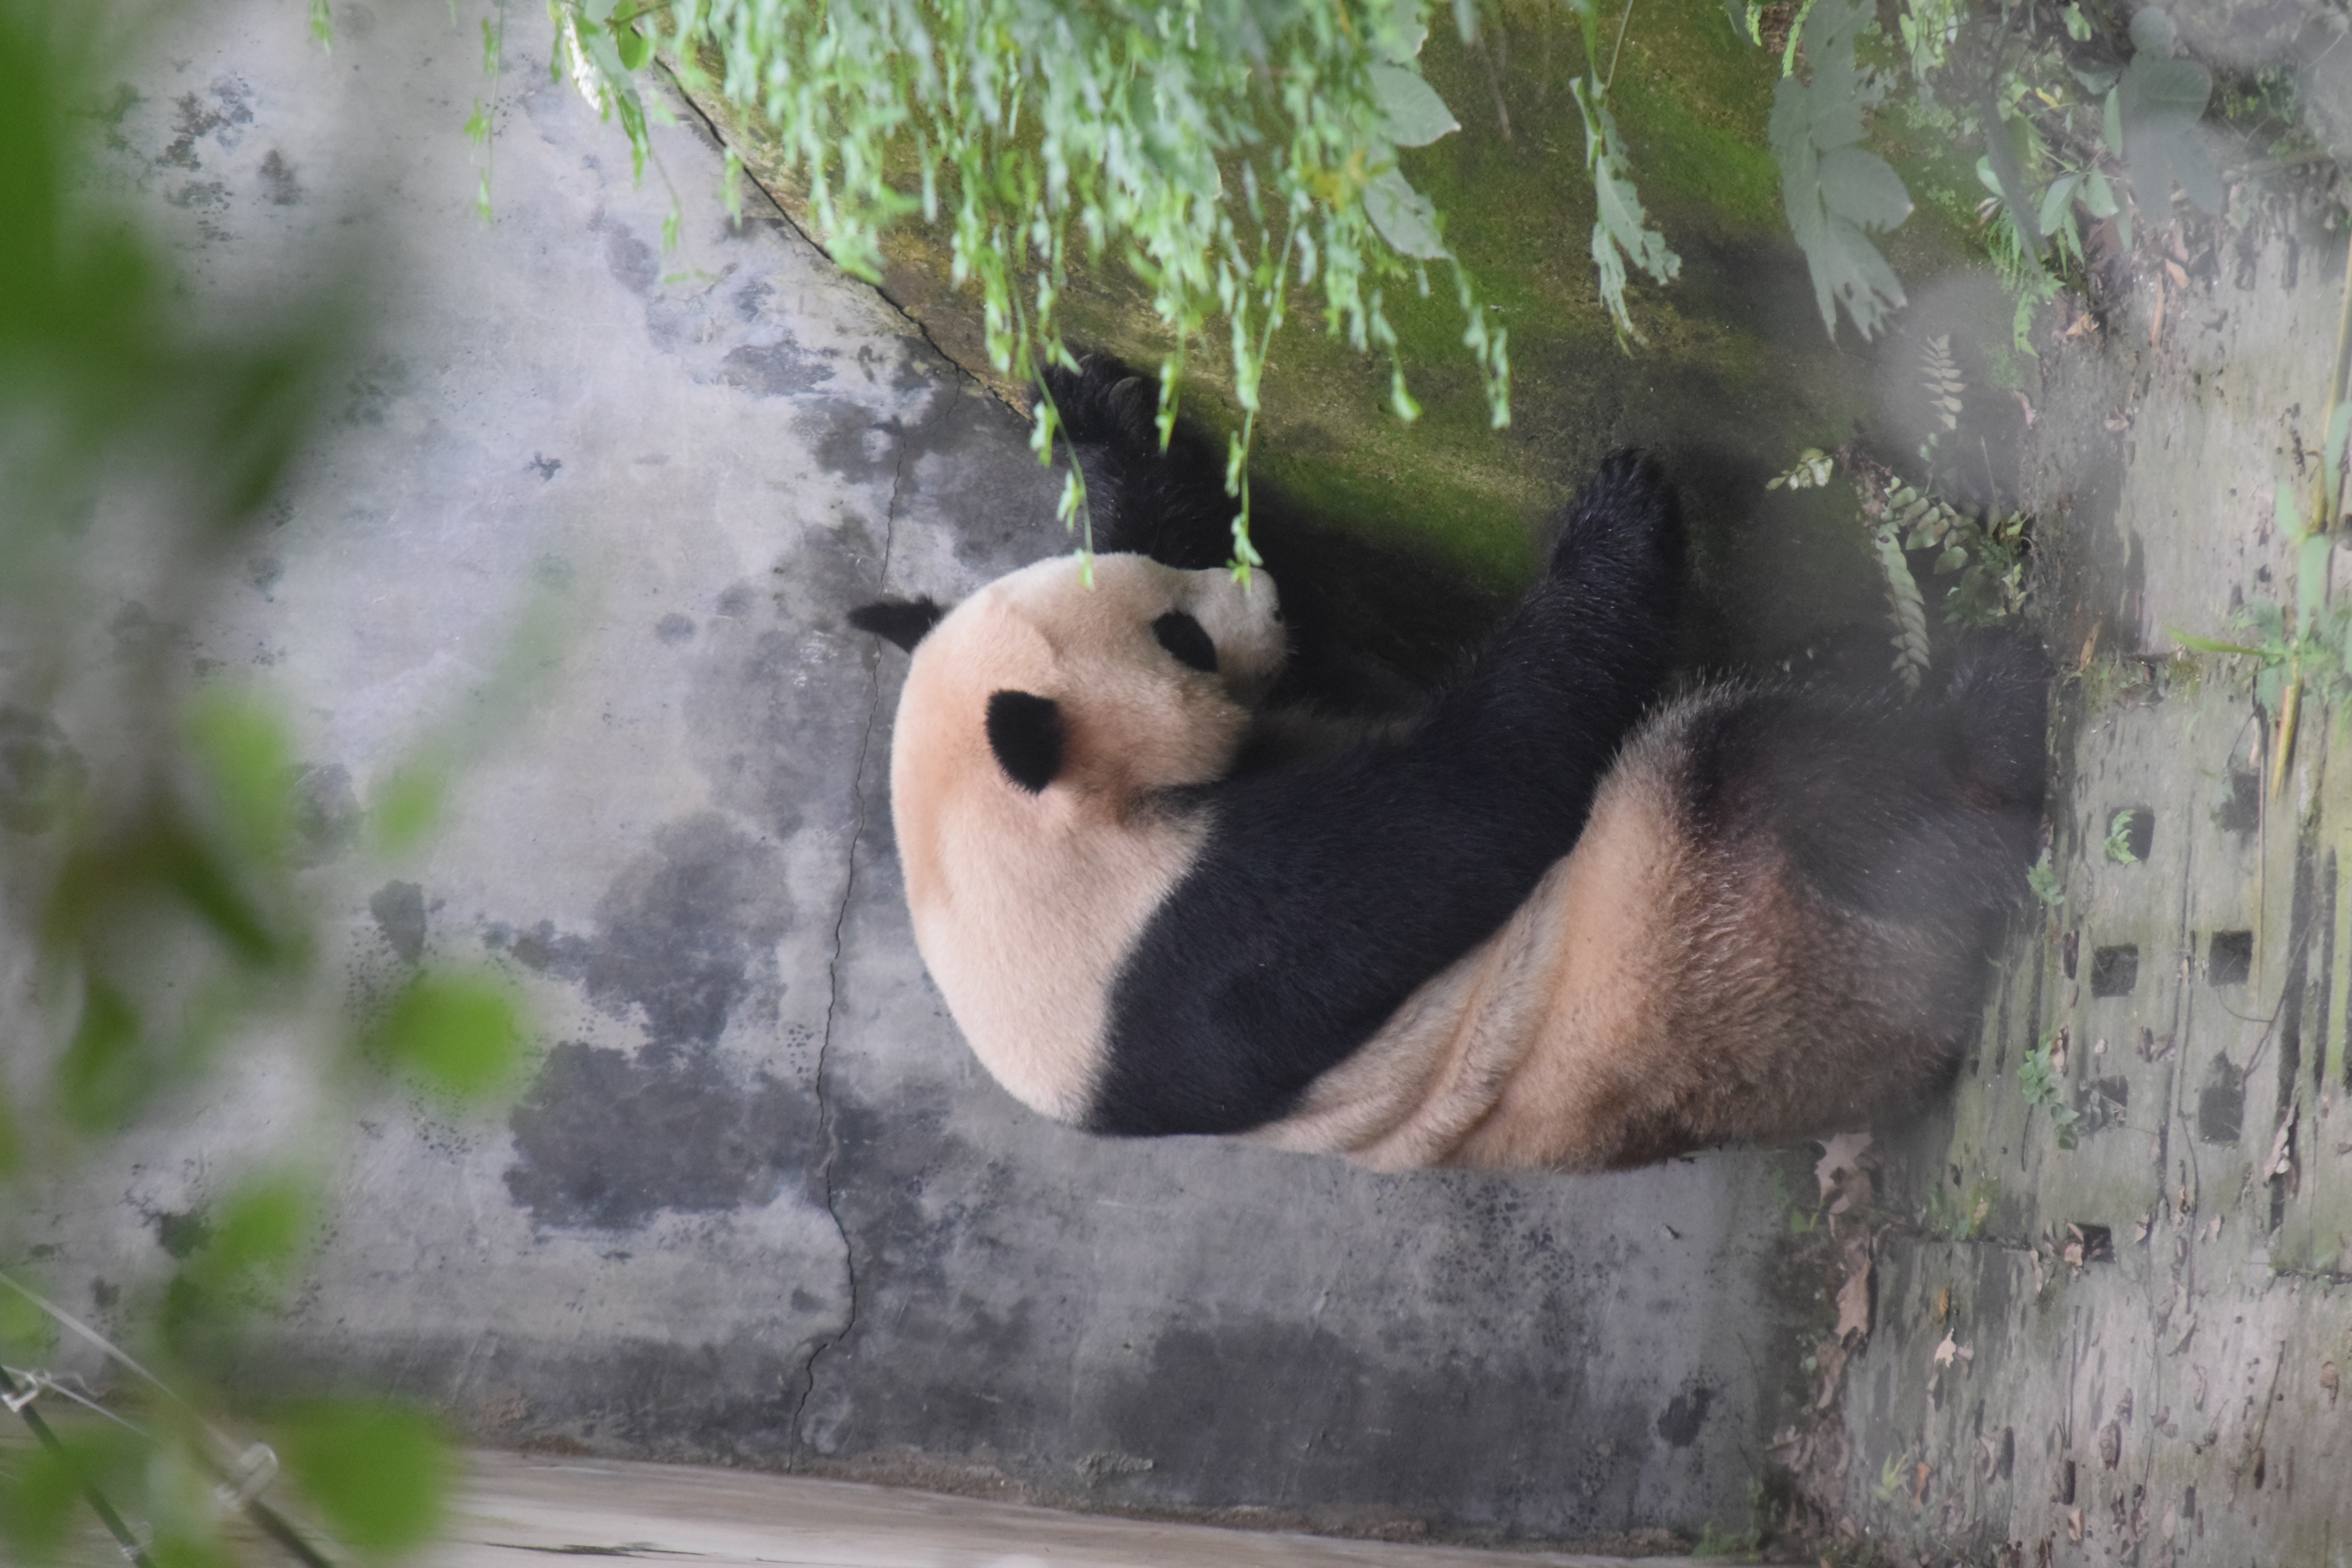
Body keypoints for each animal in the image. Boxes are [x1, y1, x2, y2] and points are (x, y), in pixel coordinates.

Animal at [849, 360, 2047, 1171]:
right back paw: (1996, 732)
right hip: (1704, 940)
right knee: (1783, 774)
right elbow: (1476, 796)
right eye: (1178, 637)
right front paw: (1617, 516)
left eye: (1172, 596)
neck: (990, 864)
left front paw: (1092, 411)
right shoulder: (1187, 942)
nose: (1268, 595)